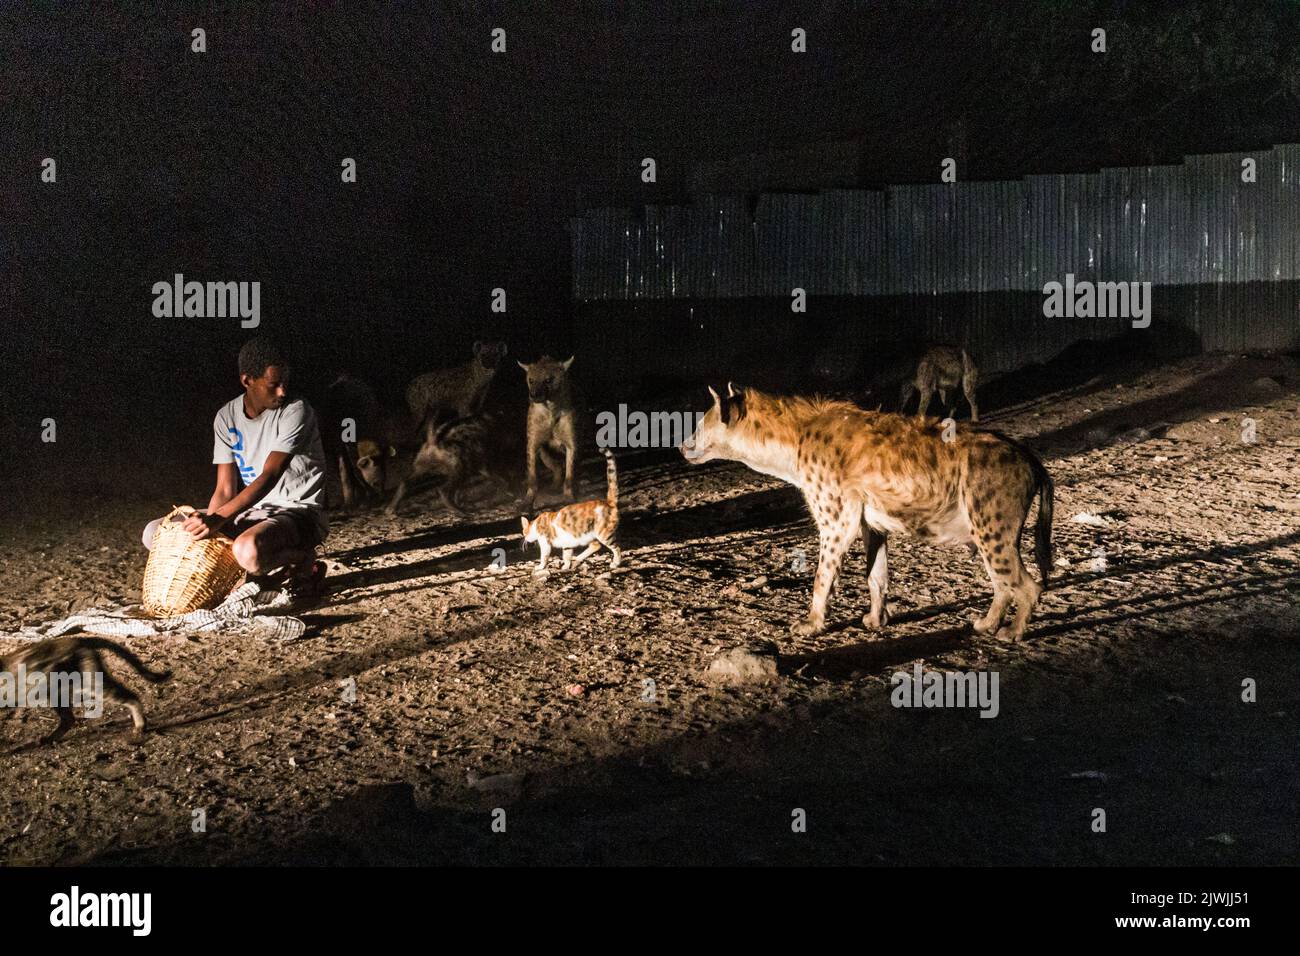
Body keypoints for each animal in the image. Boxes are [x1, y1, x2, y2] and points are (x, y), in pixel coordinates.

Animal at [517, 444, 618, 572]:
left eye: (524, 532)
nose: (525, 538)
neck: (536, 523)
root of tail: (609, 502)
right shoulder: (567, 543)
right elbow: (566, 555)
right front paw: (566, 566)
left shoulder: (545, 543)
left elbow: (544, 557)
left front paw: (540, 566)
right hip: (589, 535)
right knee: (596, 545)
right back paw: (577, 559)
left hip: (602, 532)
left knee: (615, 548)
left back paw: (616, 563)